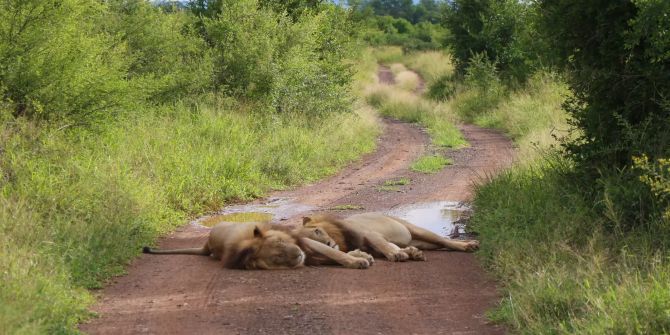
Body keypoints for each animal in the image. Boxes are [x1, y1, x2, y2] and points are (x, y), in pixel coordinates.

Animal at [304, 214, 484, 264]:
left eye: (317, 231)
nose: (328, 244)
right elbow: (388, 246)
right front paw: (411, 253)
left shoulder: (371, 234)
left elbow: (382, 244)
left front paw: (397, 255)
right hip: (425, 243)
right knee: (440, 243)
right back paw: (471, 243)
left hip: (416, 230)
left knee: (444, 240)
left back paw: (469, 246)